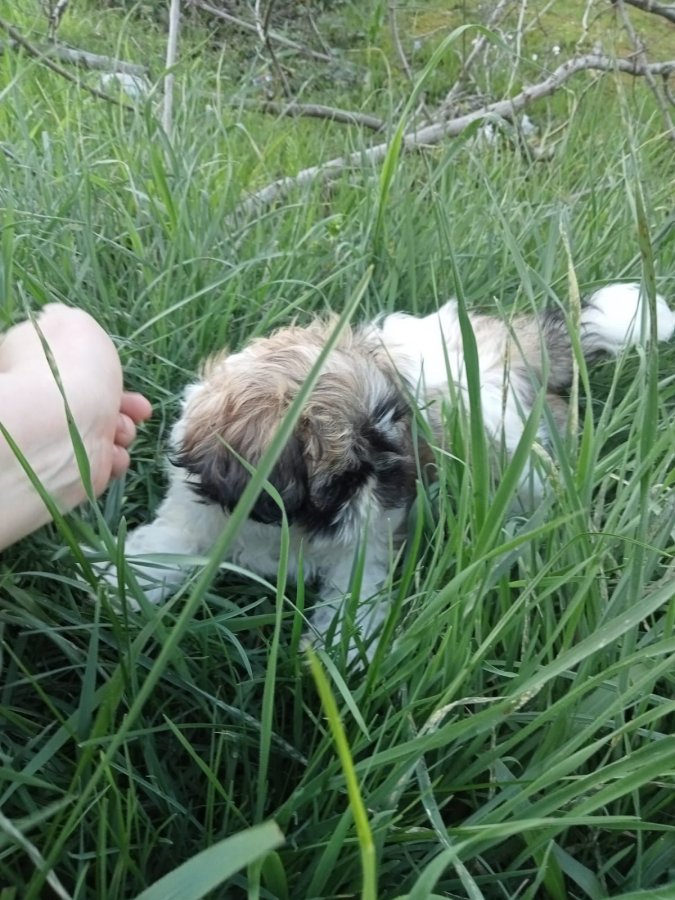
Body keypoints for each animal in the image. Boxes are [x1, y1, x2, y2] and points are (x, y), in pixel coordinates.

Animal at [104, 283, 674, 660]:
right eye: (342, 480)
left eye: (393, 457)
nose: (387, 491)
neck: (280, 525)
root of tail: (519, 343)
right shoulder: (197, 510)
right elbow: (166, 544)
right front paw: (124, 586)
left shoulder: (367, 545)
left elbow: (354, 590)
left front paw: (337, 654)